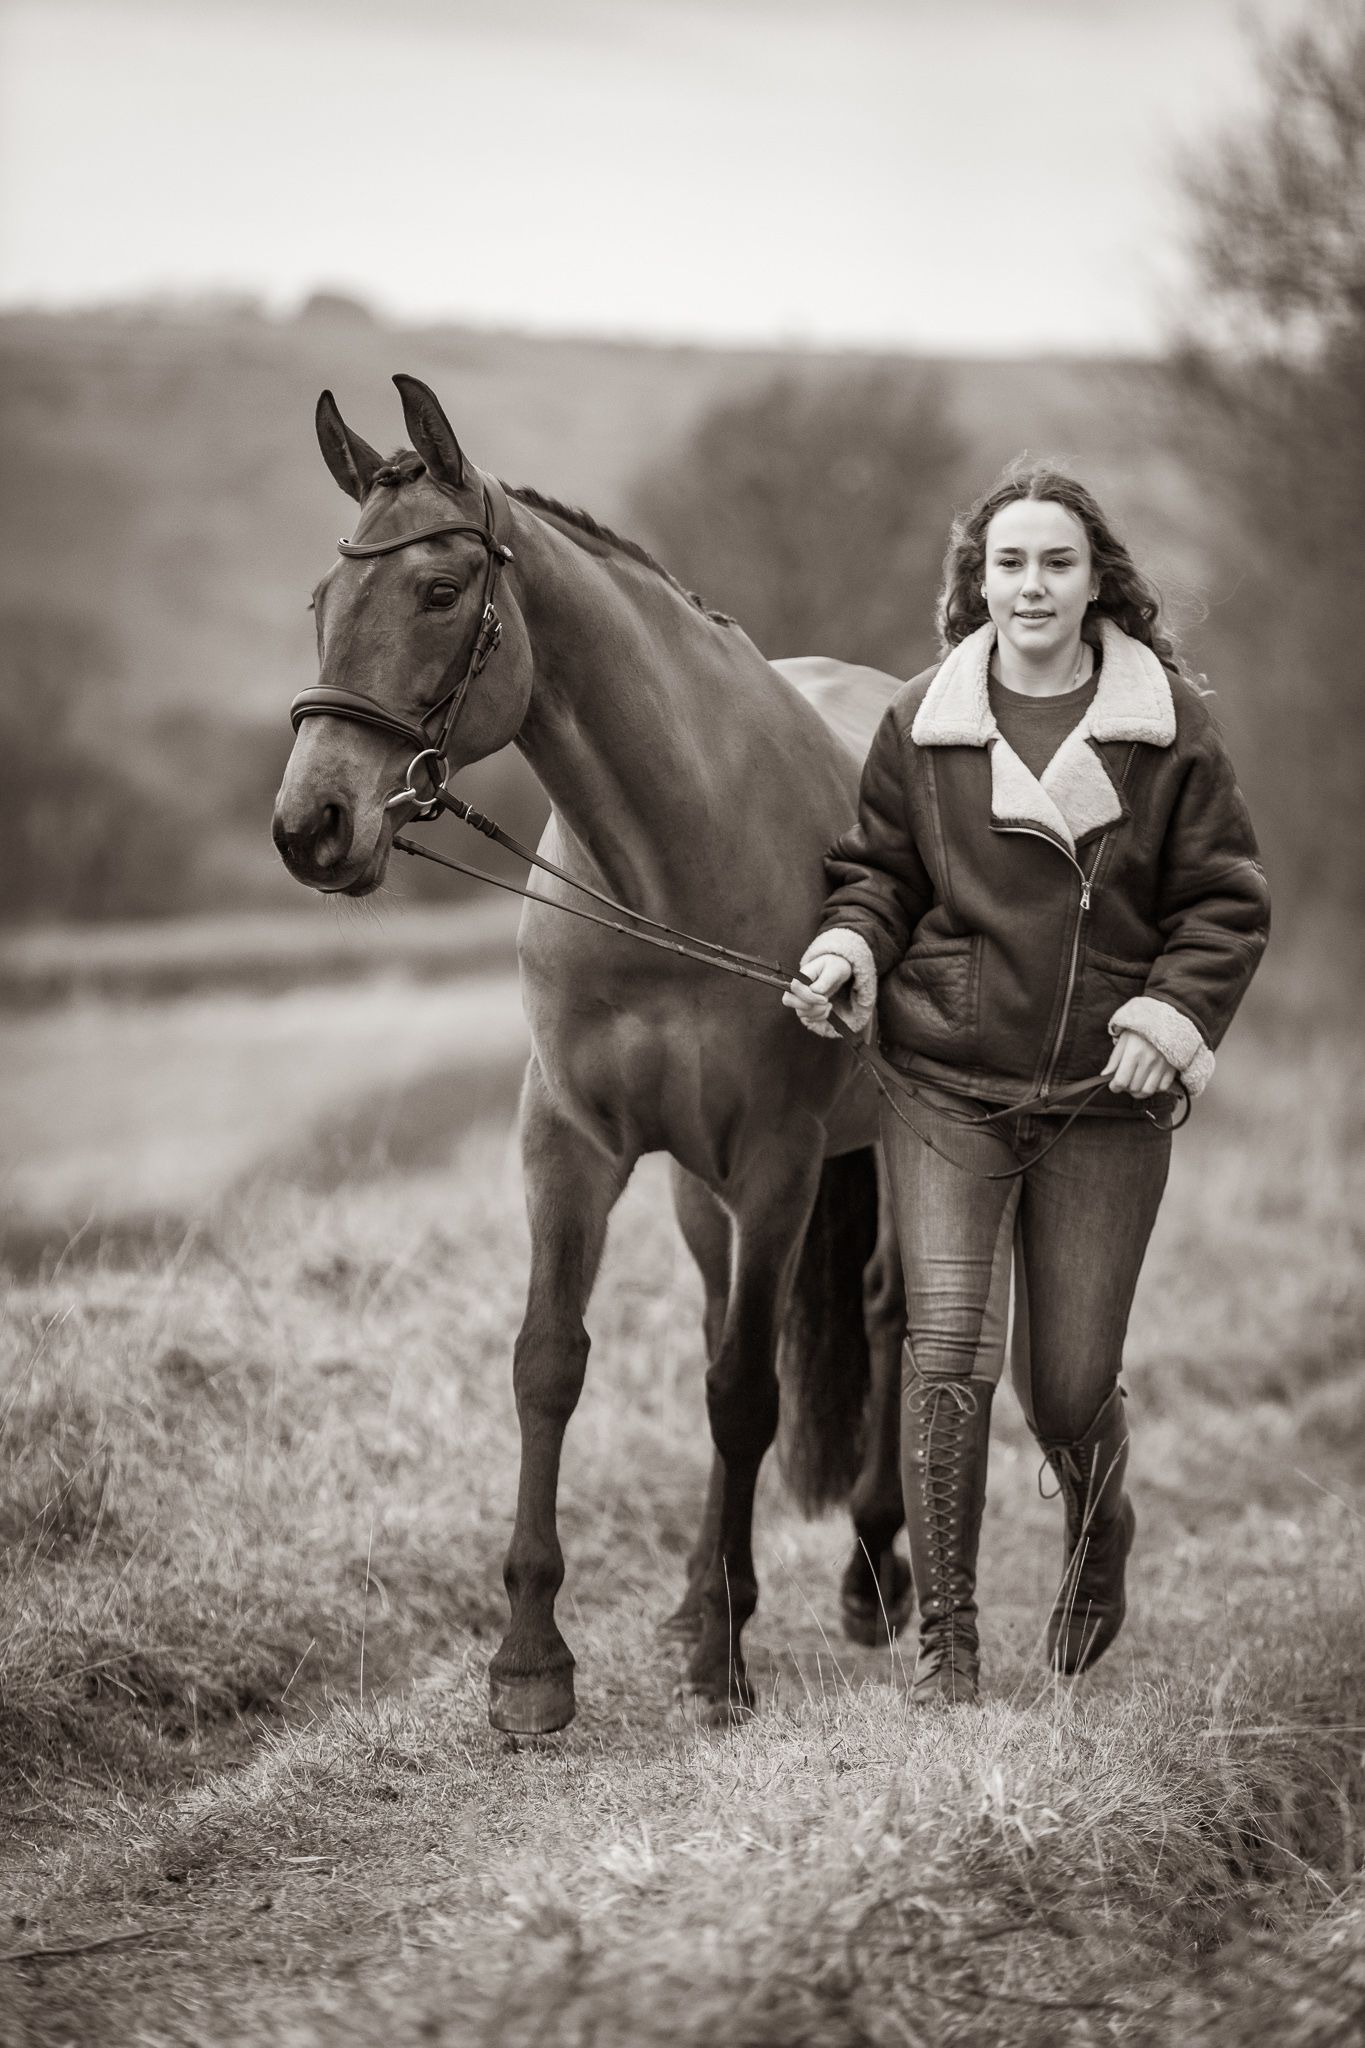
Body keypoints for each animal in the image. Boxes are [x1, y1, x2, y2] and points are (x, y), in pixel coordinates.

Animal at [272, 374, 913, 1733]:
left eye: (439, 591)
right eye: (321, 602)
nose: (312, 825)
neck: (665, 866)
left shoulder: (780, 1159)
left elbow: (744, 1391)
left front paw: (724, 1659)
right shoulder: (569, 1143)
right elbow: (550, 1364)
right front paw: (531, 1659)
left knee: (884, 1311)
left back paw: (874, 1570)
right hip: (699, 1187)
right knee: (729, 1315)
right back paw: (696, 1591)